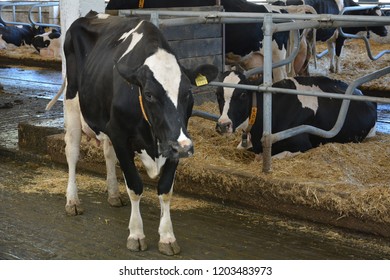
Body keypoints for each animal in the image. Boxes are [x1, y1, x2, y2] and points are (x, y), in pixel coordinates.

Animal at [61, 11, 219, 256]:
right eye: (149, 94)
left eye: (188, 93)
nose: (184, 147)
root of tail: (92, 15)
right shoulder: (121, 136)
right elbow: (135, 186)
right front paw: (136, 234)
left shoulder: (174, 141)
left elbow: (165, 189)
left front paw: (167, 237)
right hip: (72, 103)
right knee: (72, 153)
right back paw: (73, 202)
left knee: (108, 154)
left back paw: (114, 195)